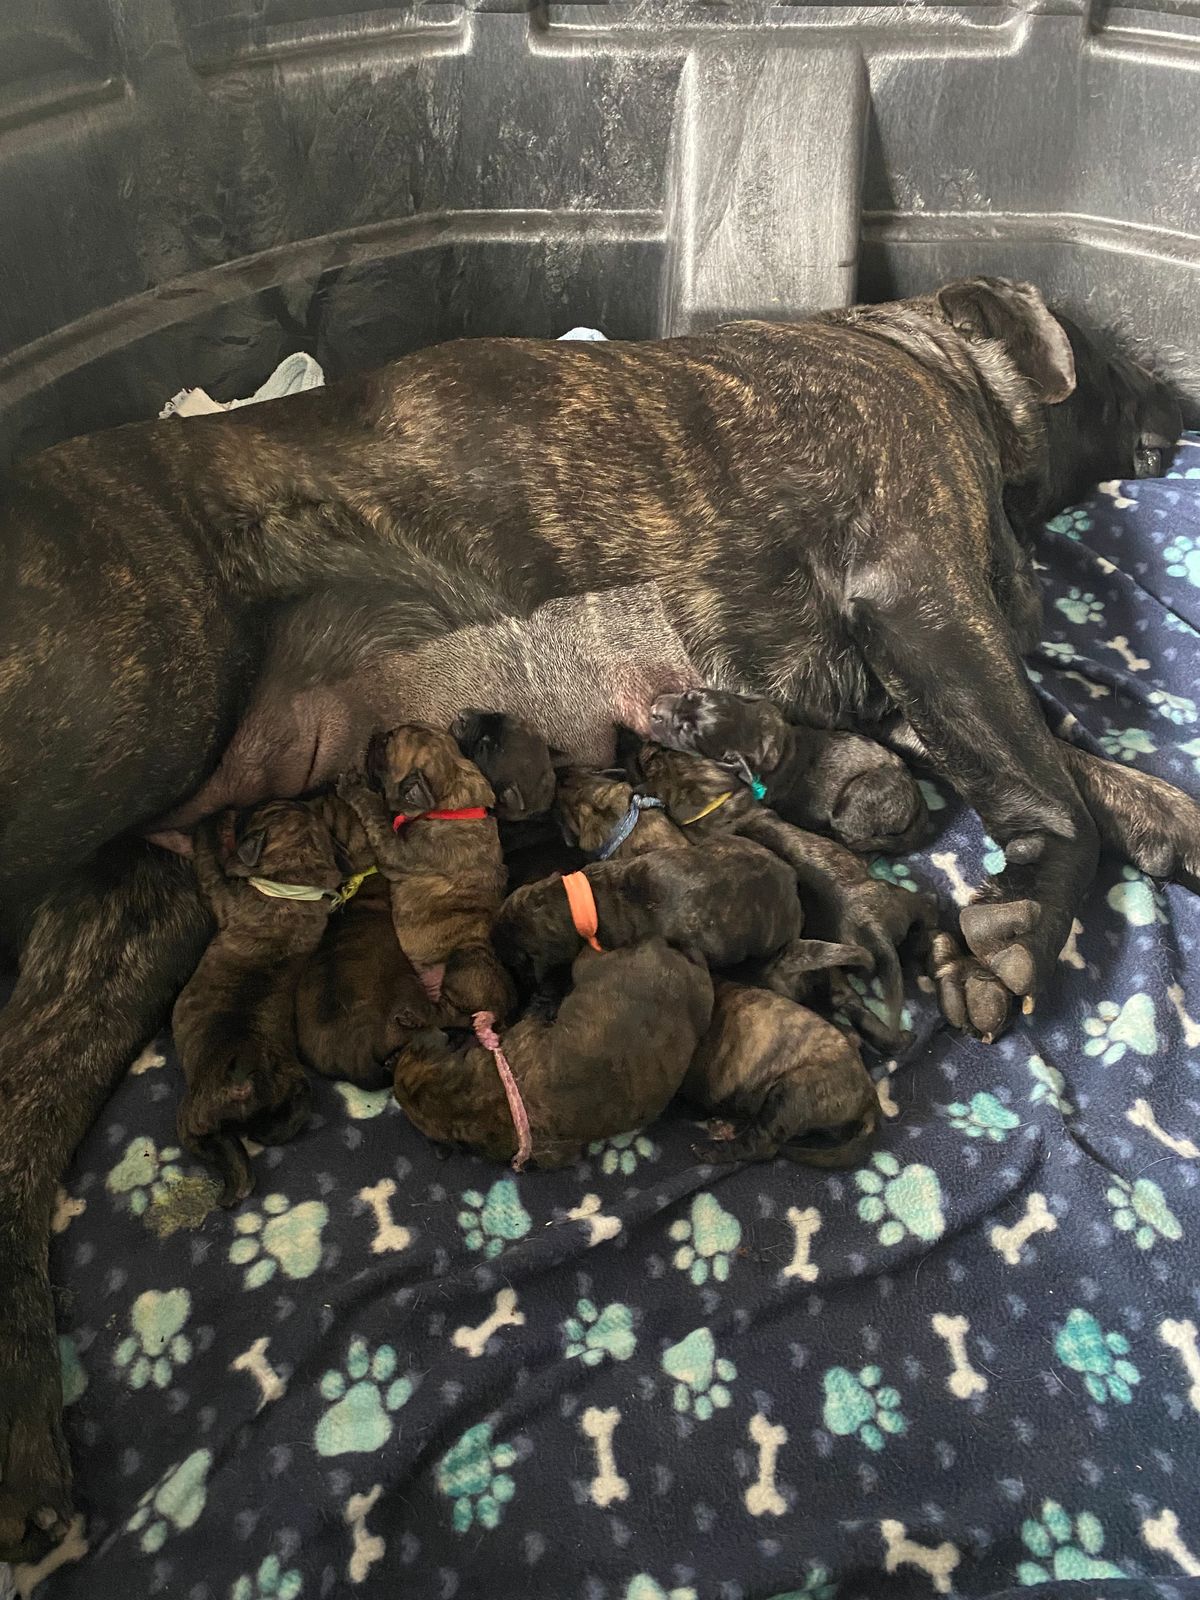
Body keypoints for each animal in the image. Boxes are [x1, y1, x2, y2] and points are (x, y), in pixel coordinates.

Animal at [171, 802, 349, 1204]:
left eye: (259, 811)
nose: (237, 809)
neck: (290, 888)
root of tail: (247, 1075)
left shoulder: (220, 889)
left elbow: (209, 862)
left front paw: (209, 827)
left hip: (195, 1113)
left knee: (214, 1145)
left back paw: (233, 1184)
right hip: (293, 1083)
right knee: (299, 1107)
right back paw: (266, 1133)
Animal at [338, 724, 515, 1024]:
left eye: (387, 743)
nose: (376, 733)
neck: (448, 800)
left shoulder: (396, 852)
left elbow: (377, 814)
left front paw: (355, 787)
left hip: (467, 958)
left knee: (450, 1015)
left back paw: (416, 1015)